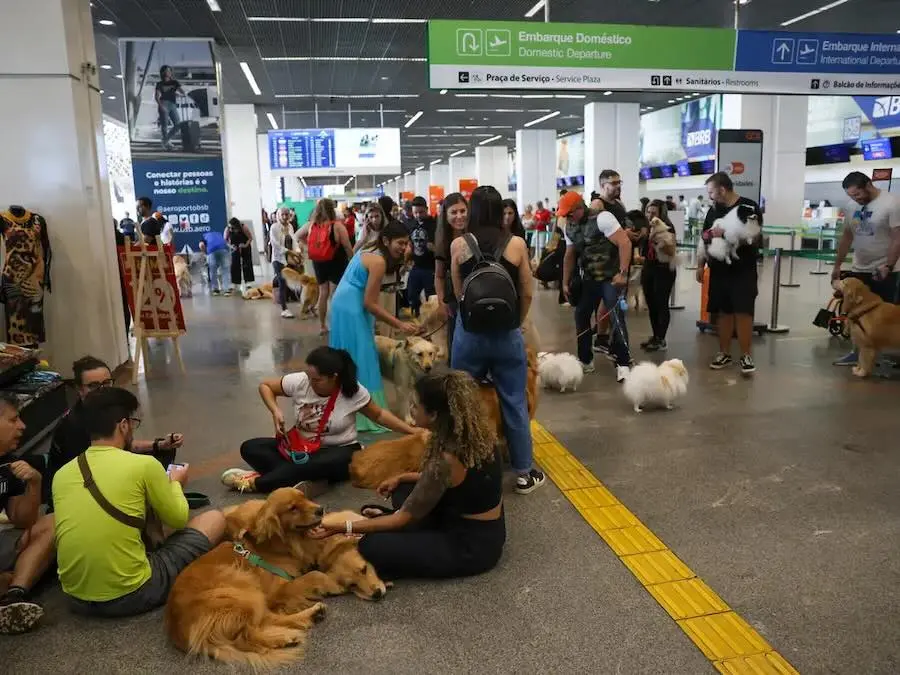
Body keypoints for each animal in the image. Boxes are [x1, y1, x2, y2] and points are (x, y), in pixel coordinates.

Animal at [167, 488, 384, 668]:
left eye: (304, 497)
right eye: (293, 508)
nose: (320, 510)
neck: (282, 545)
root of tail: (178, 632)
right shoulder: (277, 590)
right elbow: (315, 574)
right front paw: (334, 583)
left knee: (265, 620)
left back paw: (306, 619)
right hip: (241, 588)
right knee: (247, 634)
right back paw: (288, 633)